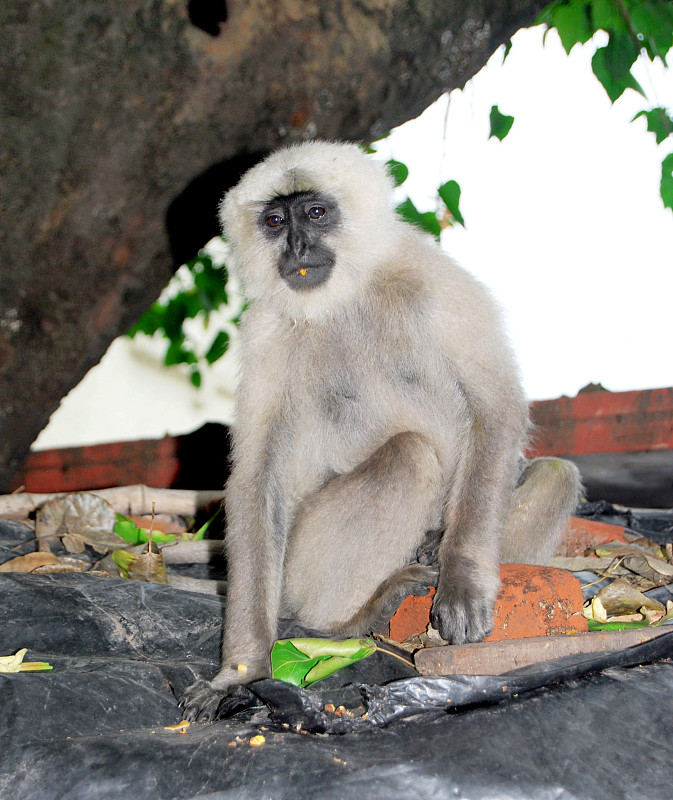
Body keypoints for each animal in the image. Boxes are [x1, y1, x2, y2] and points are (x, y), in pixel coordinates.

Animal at [180, 141, 584, 720]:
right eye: (276, 221)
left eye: (315, 214)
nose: (298, 245)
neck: (346, 298)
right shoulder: (266, 331)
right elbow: (259, 483)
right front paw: (241, 673)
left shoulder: (436, 282)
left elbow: (496, 411)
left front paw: (462, 578)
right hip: (299, 569)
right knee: (408, 454)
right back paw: (346, 622)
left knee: (553, 474)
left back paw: (433, 551)